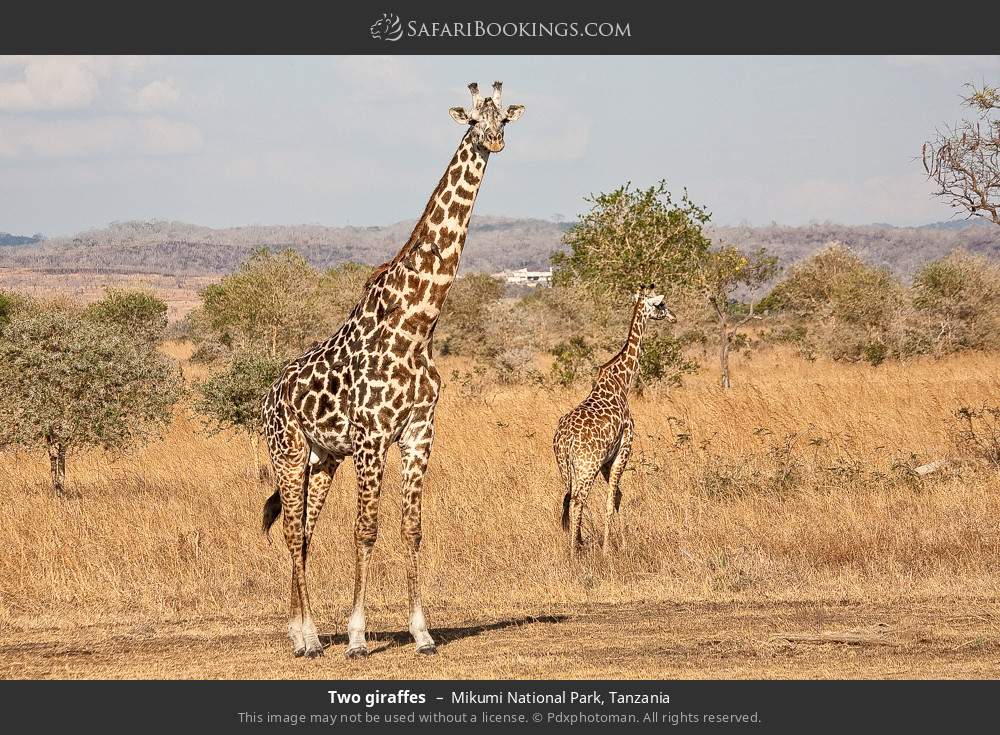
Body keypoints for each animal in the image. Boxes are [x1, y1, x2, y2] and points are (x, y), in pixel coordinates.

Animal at [260, 82, 524, 659]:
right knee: (291, 533)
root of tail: (267, 397)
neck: (417, 322)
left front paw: (422, 631)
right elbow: (365, 530)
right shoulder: (371, 437)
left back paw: (304, 631)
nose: (494, 141)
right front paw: (358, 636)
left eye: (504, 118)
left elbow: (411, 527)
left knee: (304, 533)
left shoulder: (419, 432)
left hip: (322, 459)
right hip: (287, 453)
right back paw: (307, 640)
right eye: (472, 118)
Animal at [553, 286, 676, 557]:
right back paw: (574, 551)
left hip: (566, 466)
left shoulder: (607, 460)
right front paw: (608, 548)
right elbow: (612, 499)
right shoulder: (625, 447)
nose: (674, 316)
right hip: (587, 465)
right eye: (661, 305)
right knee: (578, 500)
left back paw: (577, 542)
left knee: (568, 498)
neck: (622, 382)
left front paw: (620, 541)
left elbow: (618, 495)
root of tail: (565, 440)